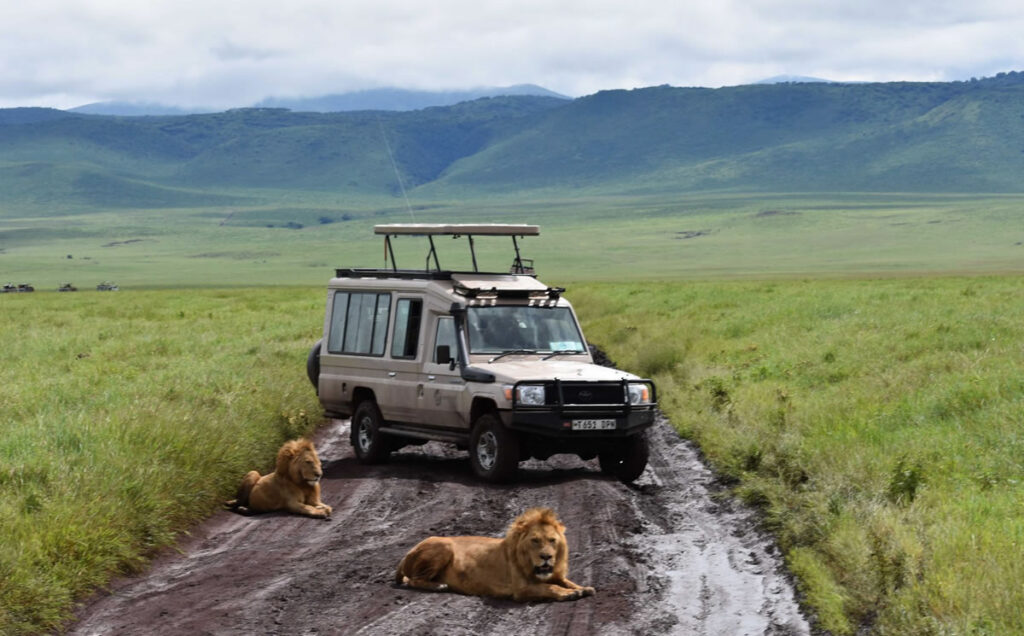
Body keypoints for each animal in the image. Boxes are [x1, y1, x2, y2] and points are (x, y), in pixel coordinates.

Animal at [395, 507, 594, 602]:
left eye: (552, 540)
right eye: (535, 540)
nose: (546, 557)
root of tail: (406, 554)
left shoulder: (554, 574)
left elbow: (566, 582)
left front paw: (583, 588)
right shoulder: (521, 589)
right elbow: (550, 587)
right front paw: (570, 594)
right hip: (444, 544)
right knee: (412, 580)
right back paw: (439, 586)